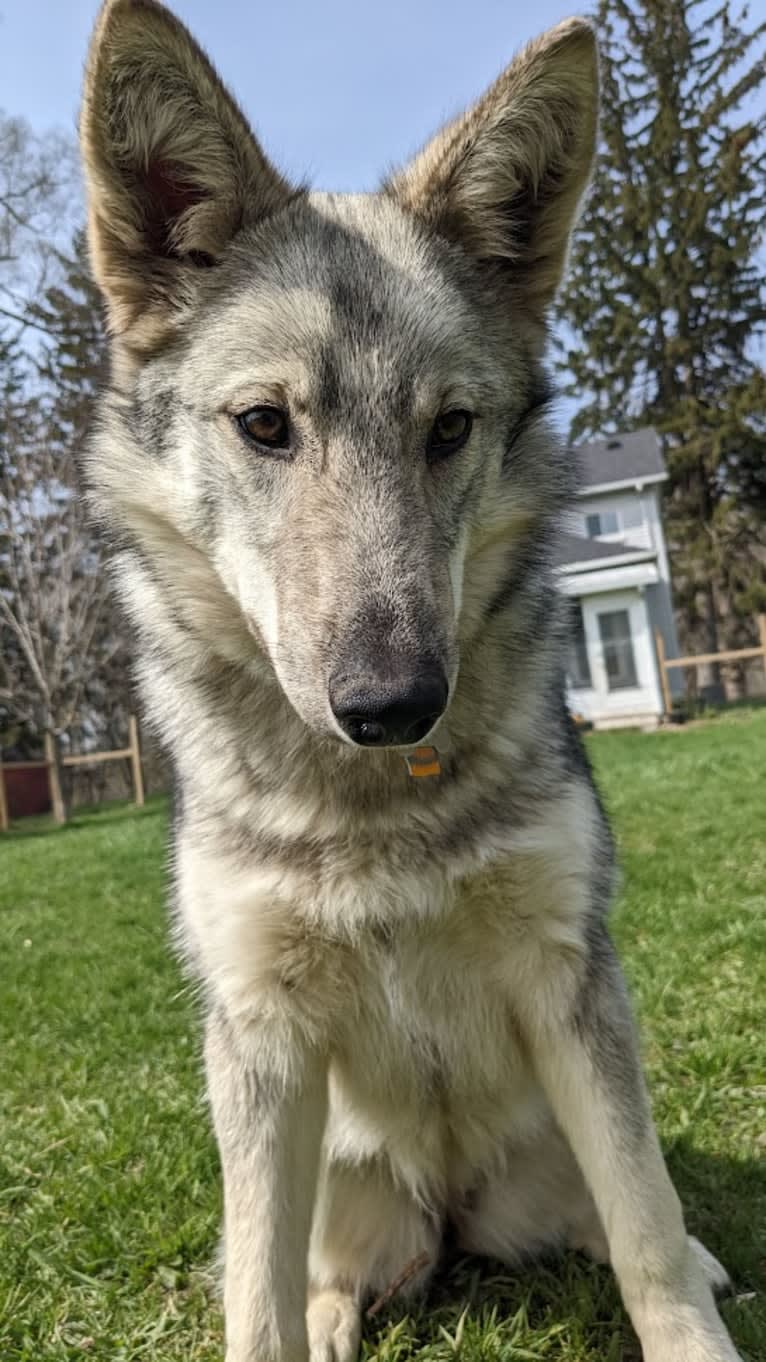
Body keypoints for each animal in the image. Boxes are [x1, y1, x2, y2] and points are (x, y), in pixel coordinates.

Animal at [79, 2, 741, 1362]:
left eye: (448, 430)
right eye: (265, 425)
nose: (390, 706)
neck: (376, 809)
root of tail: (450, 1209)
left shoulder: (569, 982)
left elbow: (646, 1237)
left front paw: (689, 1306)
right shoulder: (261, 1039)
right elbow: (256, 1303)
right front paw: (287, 1325)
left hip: (557, 1134)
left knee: (622, 1220)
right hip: (338, 1178)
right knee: (312, 1273)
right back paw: (340, 1316)